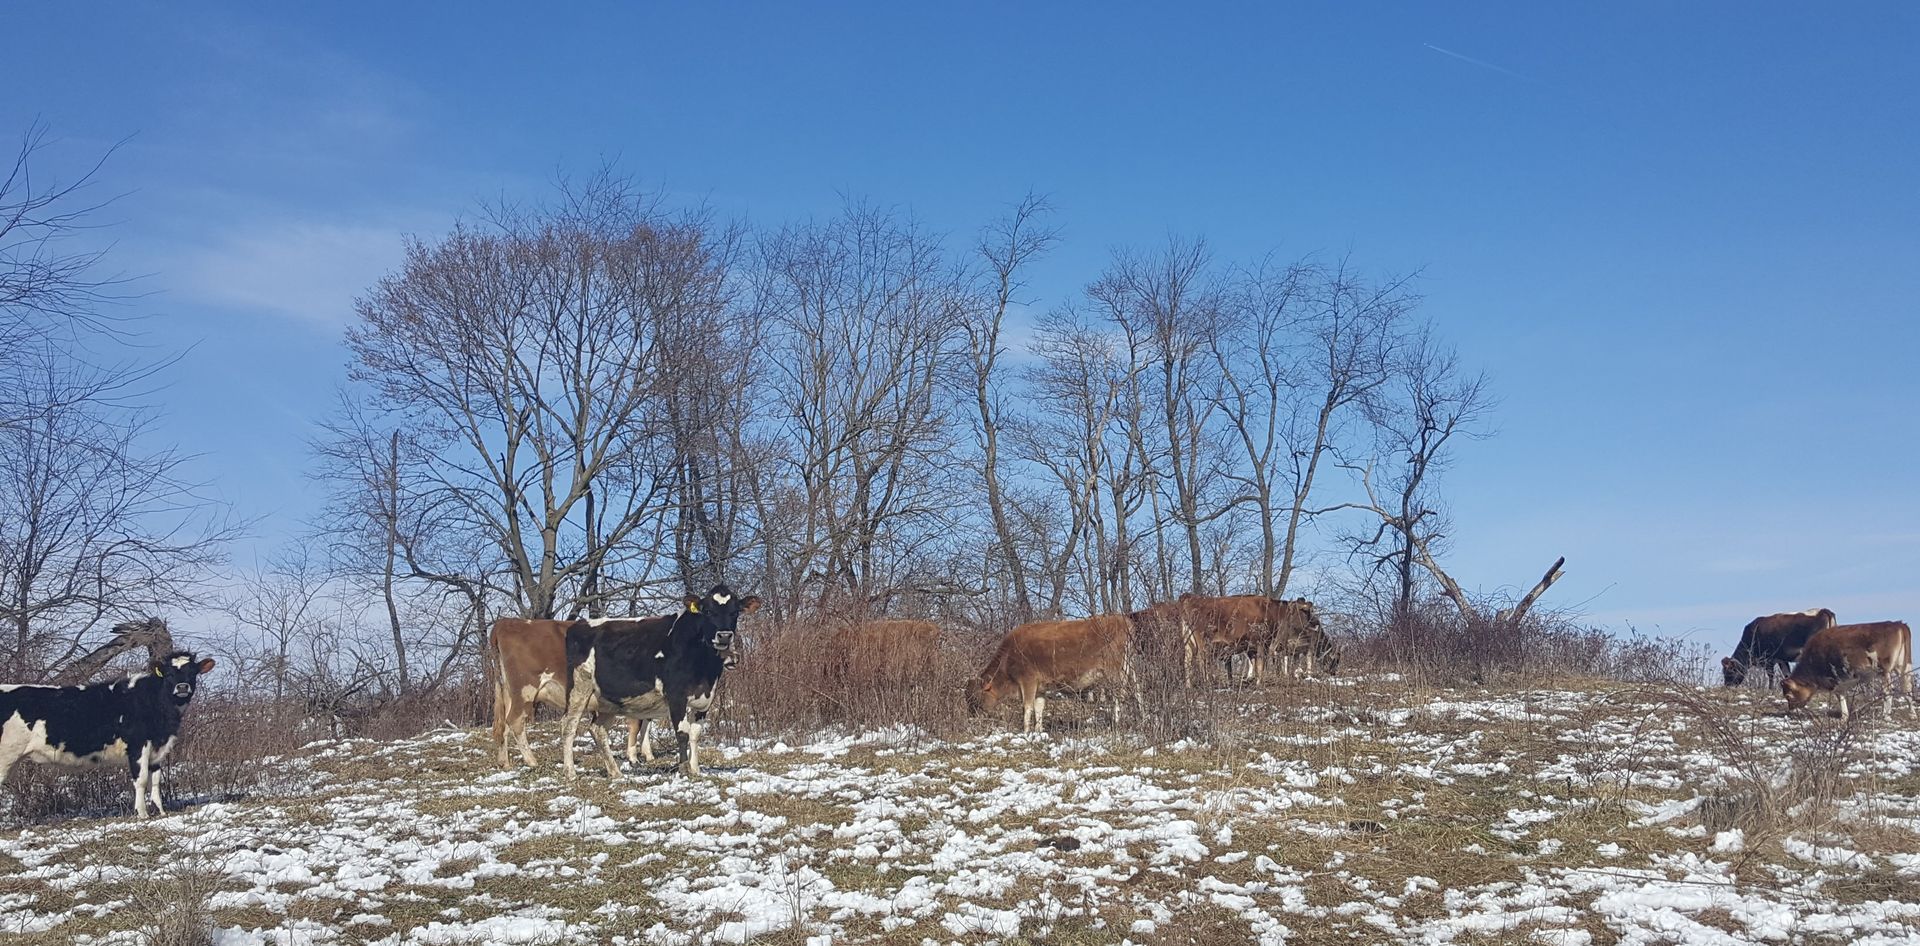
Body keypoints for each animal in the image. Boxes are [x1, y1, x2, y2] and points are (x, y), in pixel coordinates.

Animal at [0, 651, 216, 818]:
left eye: (192, 673)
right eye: (169, 674)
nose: (182, 687)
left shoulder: (157, 749)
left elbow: (155, 781)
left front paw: (161, 811)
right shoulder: (138, 746)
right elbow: (141, 779)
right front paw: (142, 813)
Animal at [561, 584, 761, 779]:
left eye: (735, 612)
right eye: (708, 611)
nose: (724, 635)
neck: (704, 666)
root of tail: (579, 624)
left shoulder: (705, 700)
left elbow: (695, 734)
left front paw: (696, 769)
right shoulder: (676, 696)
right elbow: (682, 733)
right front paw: (684, 770)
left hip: (608, 699)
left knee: (598, 730)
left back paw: (615, 773)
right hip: (580, 688)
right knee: (569, 726)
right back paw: (570, 772)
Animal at [965, 612, 1142, 732]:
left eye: (975, 697)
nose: (971, 715)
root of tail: (1122, 619)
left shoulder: (1028, 679)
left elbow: (1027, 707)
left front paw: (1026, 731)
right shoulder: (1040, 687)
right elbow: (1039, 708)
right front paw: (1038, 731)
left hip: (1116, 673)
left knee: (1118, 696)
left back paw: (1116, 723)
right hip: (1130, 669)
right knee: (1138, 691)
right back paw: (1142, 718)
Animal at [1781, 621, 1913, 720]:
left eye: (1788, 695)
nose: (1791, 710)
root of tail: (1897, 624)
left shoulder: (1834, 679)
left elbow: (1839, 695)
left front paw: (1844, 716)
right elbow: (1842, 695)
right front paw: (1845, 716)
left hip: (1884, 669)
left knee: (1888, 691)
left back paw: (1885, 716)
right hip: (1903, 667)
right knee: (1907, 689)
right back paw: (1912, 714)